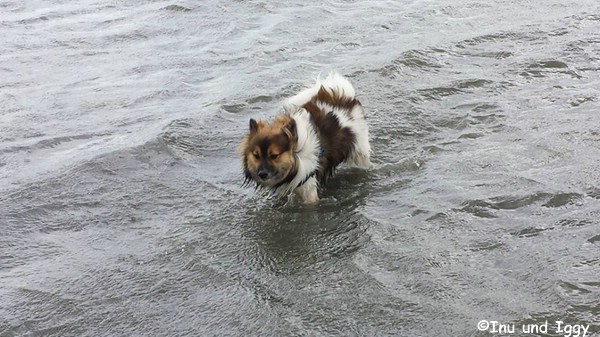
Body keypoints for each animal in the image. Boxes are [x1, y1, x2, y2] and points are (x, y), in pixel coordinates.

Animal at [239, 72, 370, 202]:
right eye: (256, 156)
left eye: (274, 156)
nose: (262, 174)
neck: (296, 153)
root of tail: (342, 96)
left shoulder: (308, 186)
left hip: (359, 151)